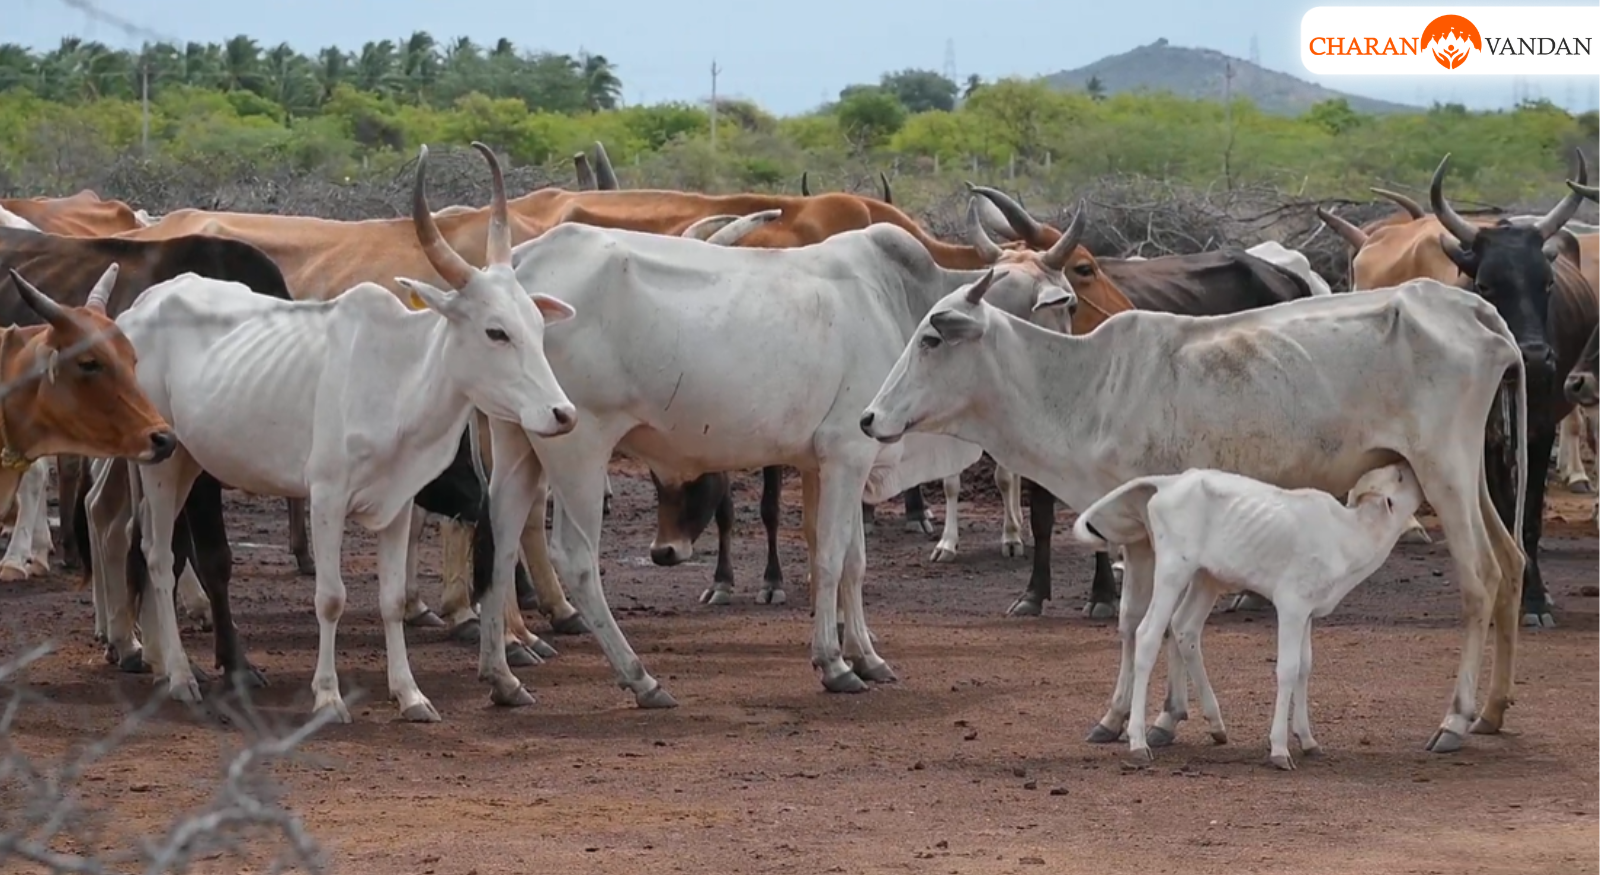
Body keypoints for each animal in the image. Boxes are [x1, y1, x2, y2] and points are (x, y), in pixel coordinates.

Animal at [88, 142, 576, 718]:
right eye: (495, 331)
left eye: (538, 327)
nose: (561, 413)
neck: (397, 376)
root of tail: (143, 307)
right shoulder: (325, 497)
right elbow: (331, 597)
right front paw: (327, 696)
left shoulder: (399, 503)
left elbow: (391, 599)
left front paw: (409, 694)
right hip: (163, 464)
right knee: (159, 557)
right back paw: (182, 677)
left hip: (189, 464)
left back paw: (166, 664)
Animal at [858, 267, 1529, 756]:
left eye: (931, 340)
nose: (868, 418)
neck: (1085, 387)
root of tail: (1467, 306)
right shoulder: (1138, 538)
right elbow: (1139, 622)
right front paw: (1134, 718)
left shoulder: (1152, 539)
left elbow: (1155, 625)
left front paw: (1151, 717)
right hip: (1469, 477)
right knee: (1513, 562)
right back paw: (1493, 712)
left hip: (1445, 472)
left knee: (1480, 578)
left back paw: (1454, 721)